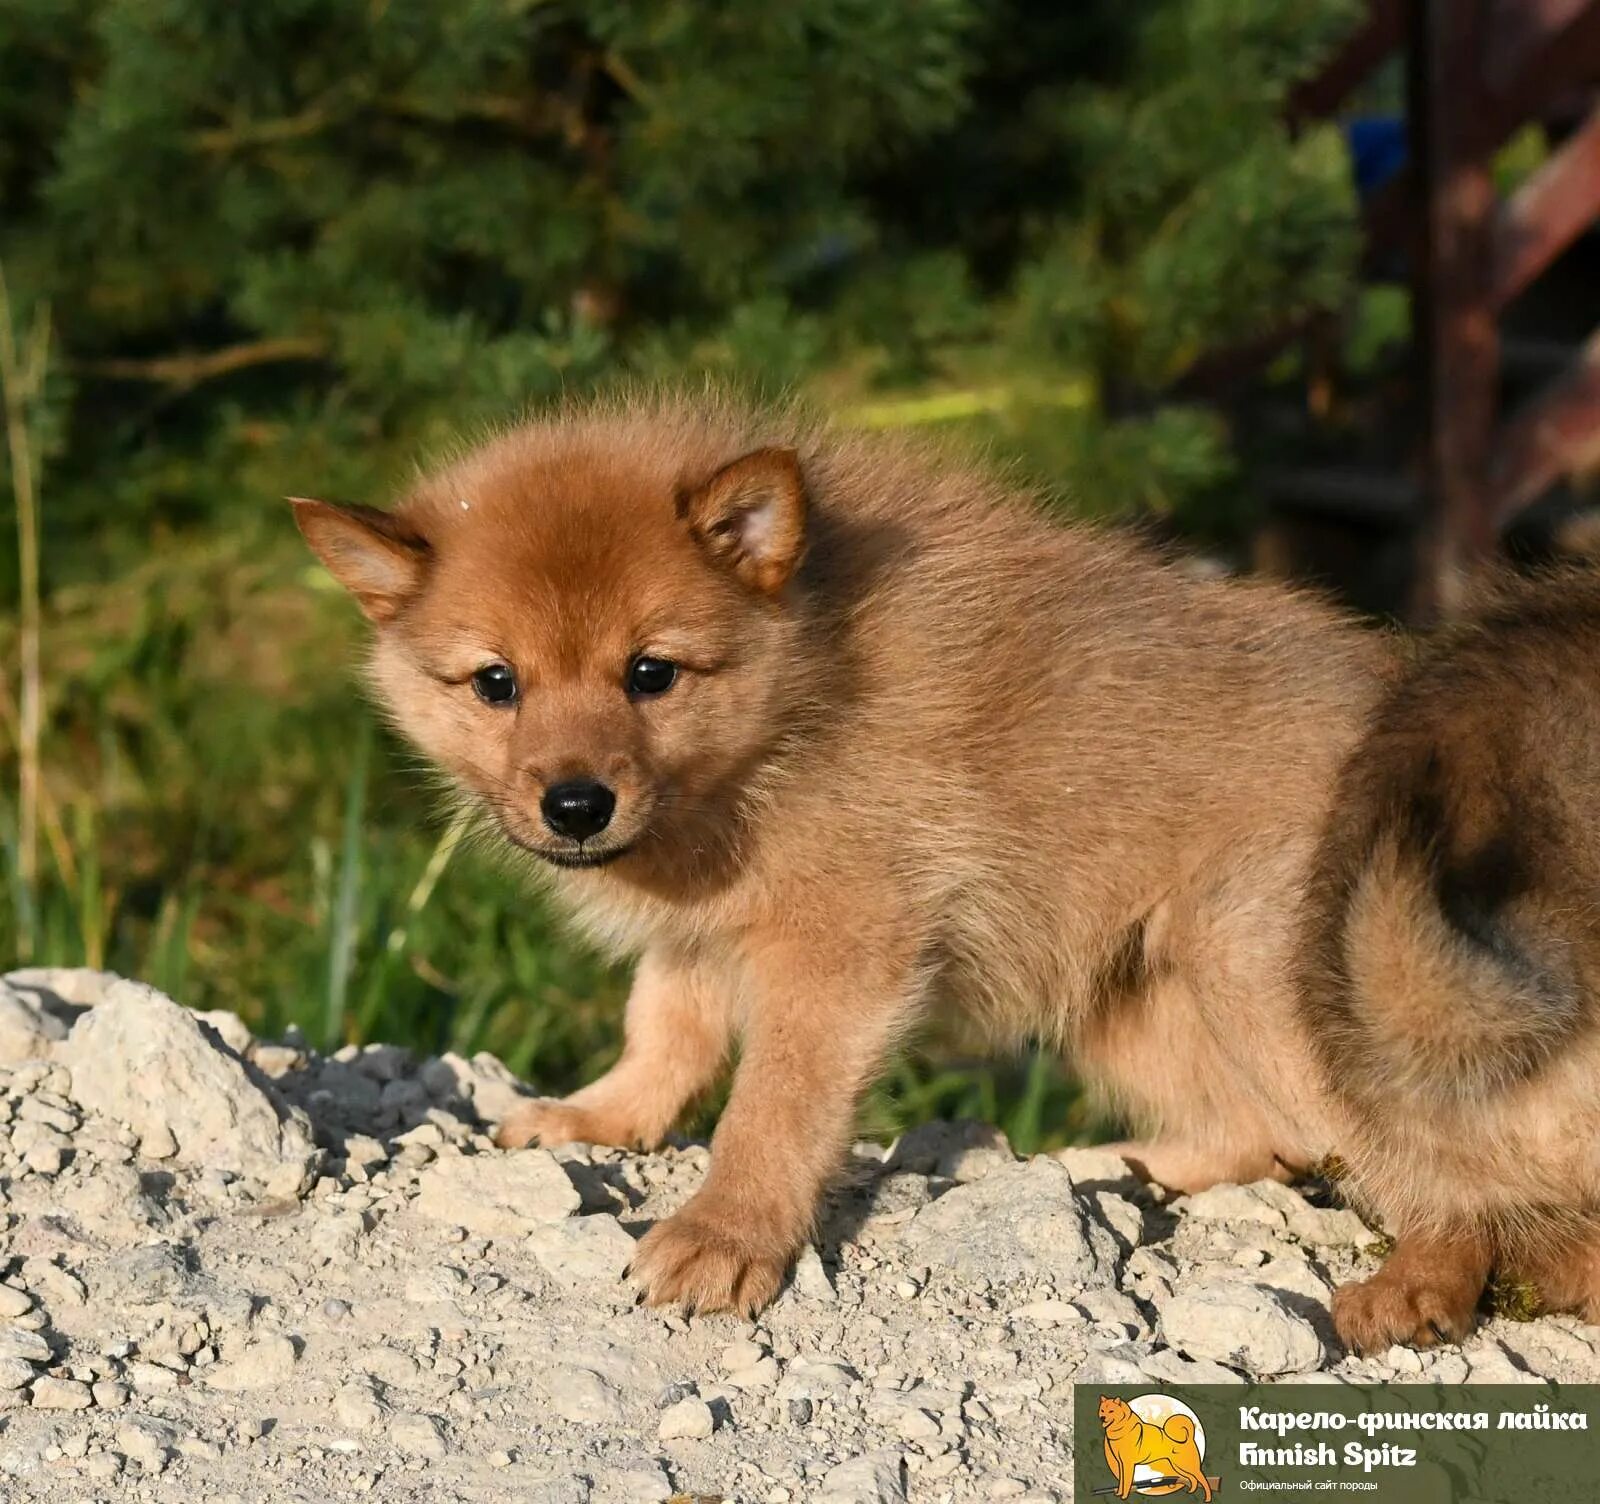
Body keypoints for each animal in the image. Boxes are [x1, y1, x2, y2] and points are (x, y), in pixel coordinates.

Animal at [291, 393, 1388, 1312]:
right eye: (495, 682)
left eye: (651, 673)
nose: (575, 806)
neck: (799, 706)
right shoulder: (697, 941)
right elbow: (663, 1037)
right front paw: (596, 1116)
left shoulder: (840, 953)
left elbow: (771, 1108)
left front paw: (725, 1237)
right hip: (1129, 997)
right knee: (1264, 1134)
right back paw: (1112, 1169)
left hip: (1249, 972)